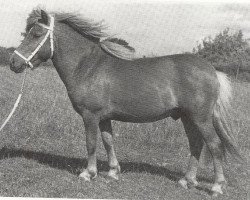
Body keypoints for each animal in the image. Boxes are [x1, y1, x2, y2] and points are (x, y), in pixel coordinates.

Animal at [9, 8, 242, 196]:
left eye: (36, 34)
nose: (14, 62)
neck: (88, 66)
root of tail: (212, 70)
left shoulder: (90, 115)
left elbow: (91, 143)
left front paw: (88, 173)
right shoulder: (104, 117)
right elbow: (108, 141)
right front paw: (112, 172)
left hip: (201, 118)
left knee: (214, 146)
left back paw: (216, 186)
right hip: (187, 118)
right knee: (196, 144)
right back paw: (186, 181)